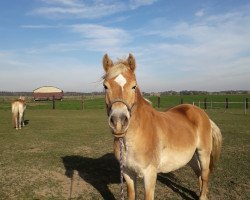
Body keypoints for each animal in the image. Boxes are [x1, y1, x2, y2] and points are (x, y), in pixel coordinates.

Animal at [102, 53, 223, 200]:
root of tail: (202, 113)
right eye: (105, 86)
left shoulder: (149, 174)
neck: (131, 140)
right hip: (190, 157)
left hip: (203, 153)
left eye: (134, 86)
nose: (119, 121)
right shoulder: (127, 172)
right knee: (199, 174)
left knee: (204, 175)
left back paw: (203, 196)